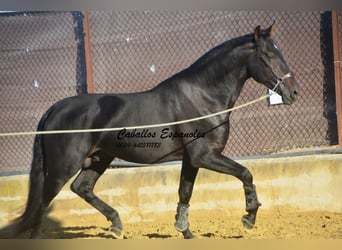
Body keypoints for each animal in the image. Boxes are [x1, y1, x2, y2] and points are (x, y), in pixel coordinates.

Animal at [5, 23, 300, 238]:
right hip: (62, 167)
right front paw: (249, 218)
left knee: (81, 188)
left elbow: (184, 192)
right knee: (43, 203)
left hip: (100, 158)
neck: (202, 98)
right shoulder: (204, 156)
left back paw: (116, 225)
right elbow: (246, 174)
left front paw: (185, 232)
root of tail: (54, 109)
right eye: (269, 55)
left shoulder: (191, 160)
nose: (293, 92)